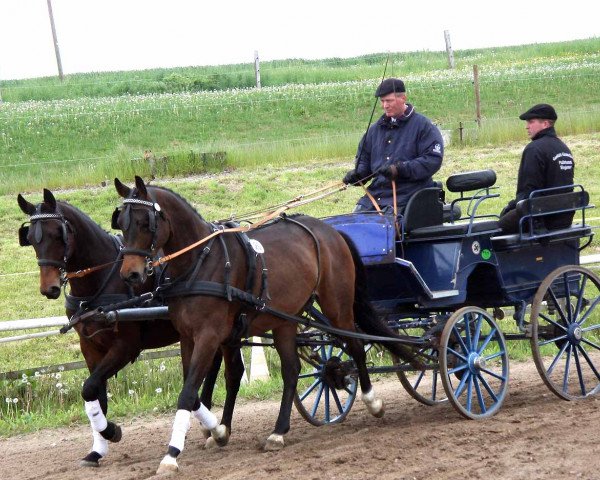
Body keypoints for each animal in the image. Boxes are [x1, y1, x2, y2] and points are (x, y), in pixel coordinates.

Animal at [18, 190, 224, 464]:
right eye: (30, 238)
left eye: (56, 234)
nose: (48, 288)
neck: (101, 282)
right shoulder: (90, 347)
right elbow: (96, 395)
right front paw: (97, 448)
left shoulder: (126, 347)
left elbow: (89, 387)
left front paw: (111, 431)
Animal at [115, 175, 420, 472]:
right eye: (121, 223)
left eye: (145, 223)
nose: (130, 274)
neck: (201, 262)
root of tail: (331, 231)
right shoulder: (189, 337)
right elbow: (197, 390)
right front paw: (218, 431)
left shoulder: (209, 336)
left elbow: (189, 392)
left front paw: (171, 456)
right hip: (284, 320)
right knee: (291, 370)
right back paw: (278, 431)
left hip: (337, 306)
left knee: (355, 346)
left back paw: (372, 401)